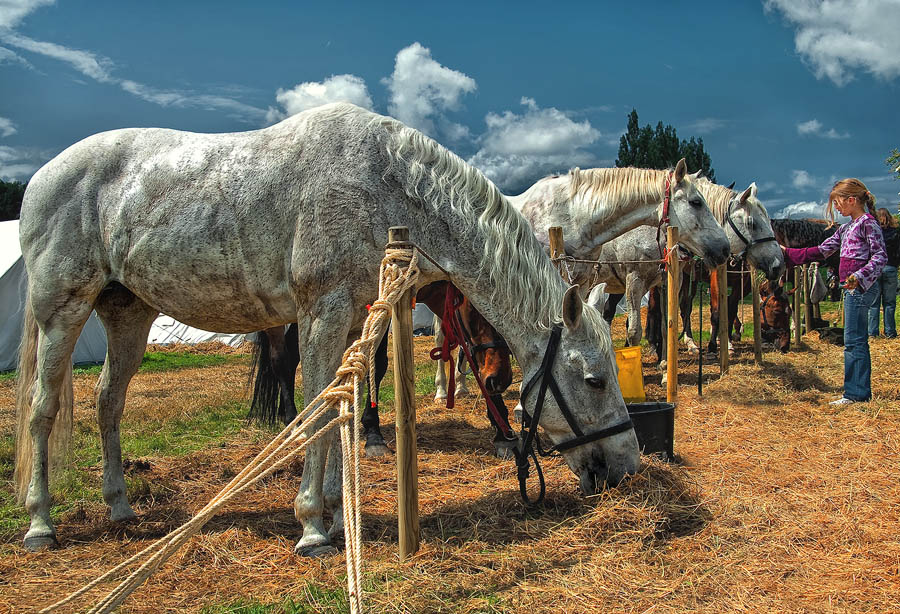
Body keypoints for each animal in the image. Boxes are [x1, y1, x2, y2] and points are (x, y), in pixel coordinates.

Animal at [248, 282, 512, 460]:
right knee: (281, 359)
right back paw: (294, 424)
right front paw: (373, 433)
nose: (501, 378)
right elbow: (379, 363)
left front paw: (503, 430)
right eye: (477, 311)